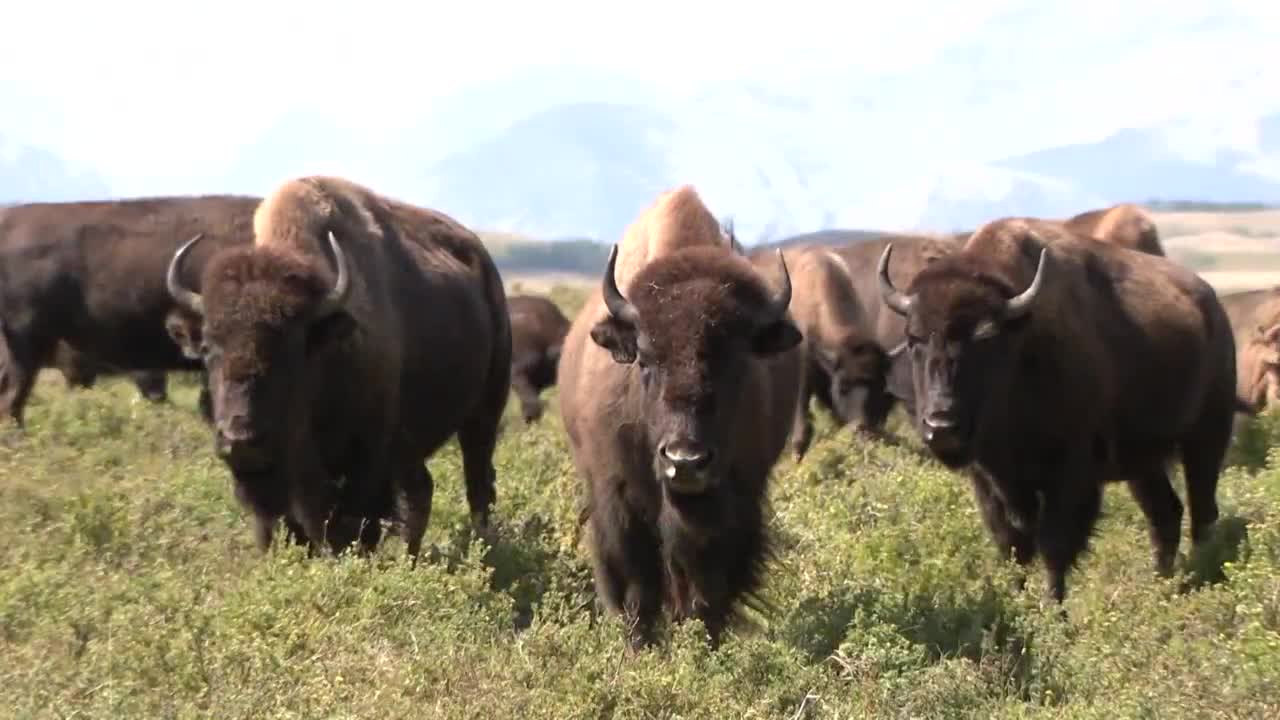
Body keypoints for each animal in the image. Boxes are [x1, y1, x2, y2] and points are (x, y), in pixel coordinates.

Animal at [164, 175, 511, 557]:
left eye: (292, 347)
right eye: (208, 348)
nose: (240, 438)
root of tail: (483, 261)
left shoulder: (366, 463)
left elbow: (354, 526)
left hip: (484, 413)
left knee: (476, 481)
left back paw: (484, 546)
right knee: (423, 493)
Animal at [558, 185, 802, 648]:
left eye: (737, 360)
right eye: (645, 359)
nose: (685, 460)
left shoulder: (737, 497)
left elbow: (708, 585)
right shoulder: (617, 498)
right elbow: (636, 587)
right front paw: (639, 648)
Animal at [877, 217, 1234, 604]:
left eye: (986, 338)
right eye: (914, 338)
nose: (941, 425)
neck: (1021, 342)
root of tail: (1213, 307)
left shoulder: (1070, 475)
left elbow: (1053, 546)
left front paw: (1052, 607)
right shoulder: (989, 480)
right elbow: (1013, 545)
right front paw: (1015, 601)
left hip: (1206, 438)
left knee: (1202, 511)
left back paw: (1200, 577)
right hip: (1142, 462)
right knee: (1165, 513)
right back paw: (1160, 586)